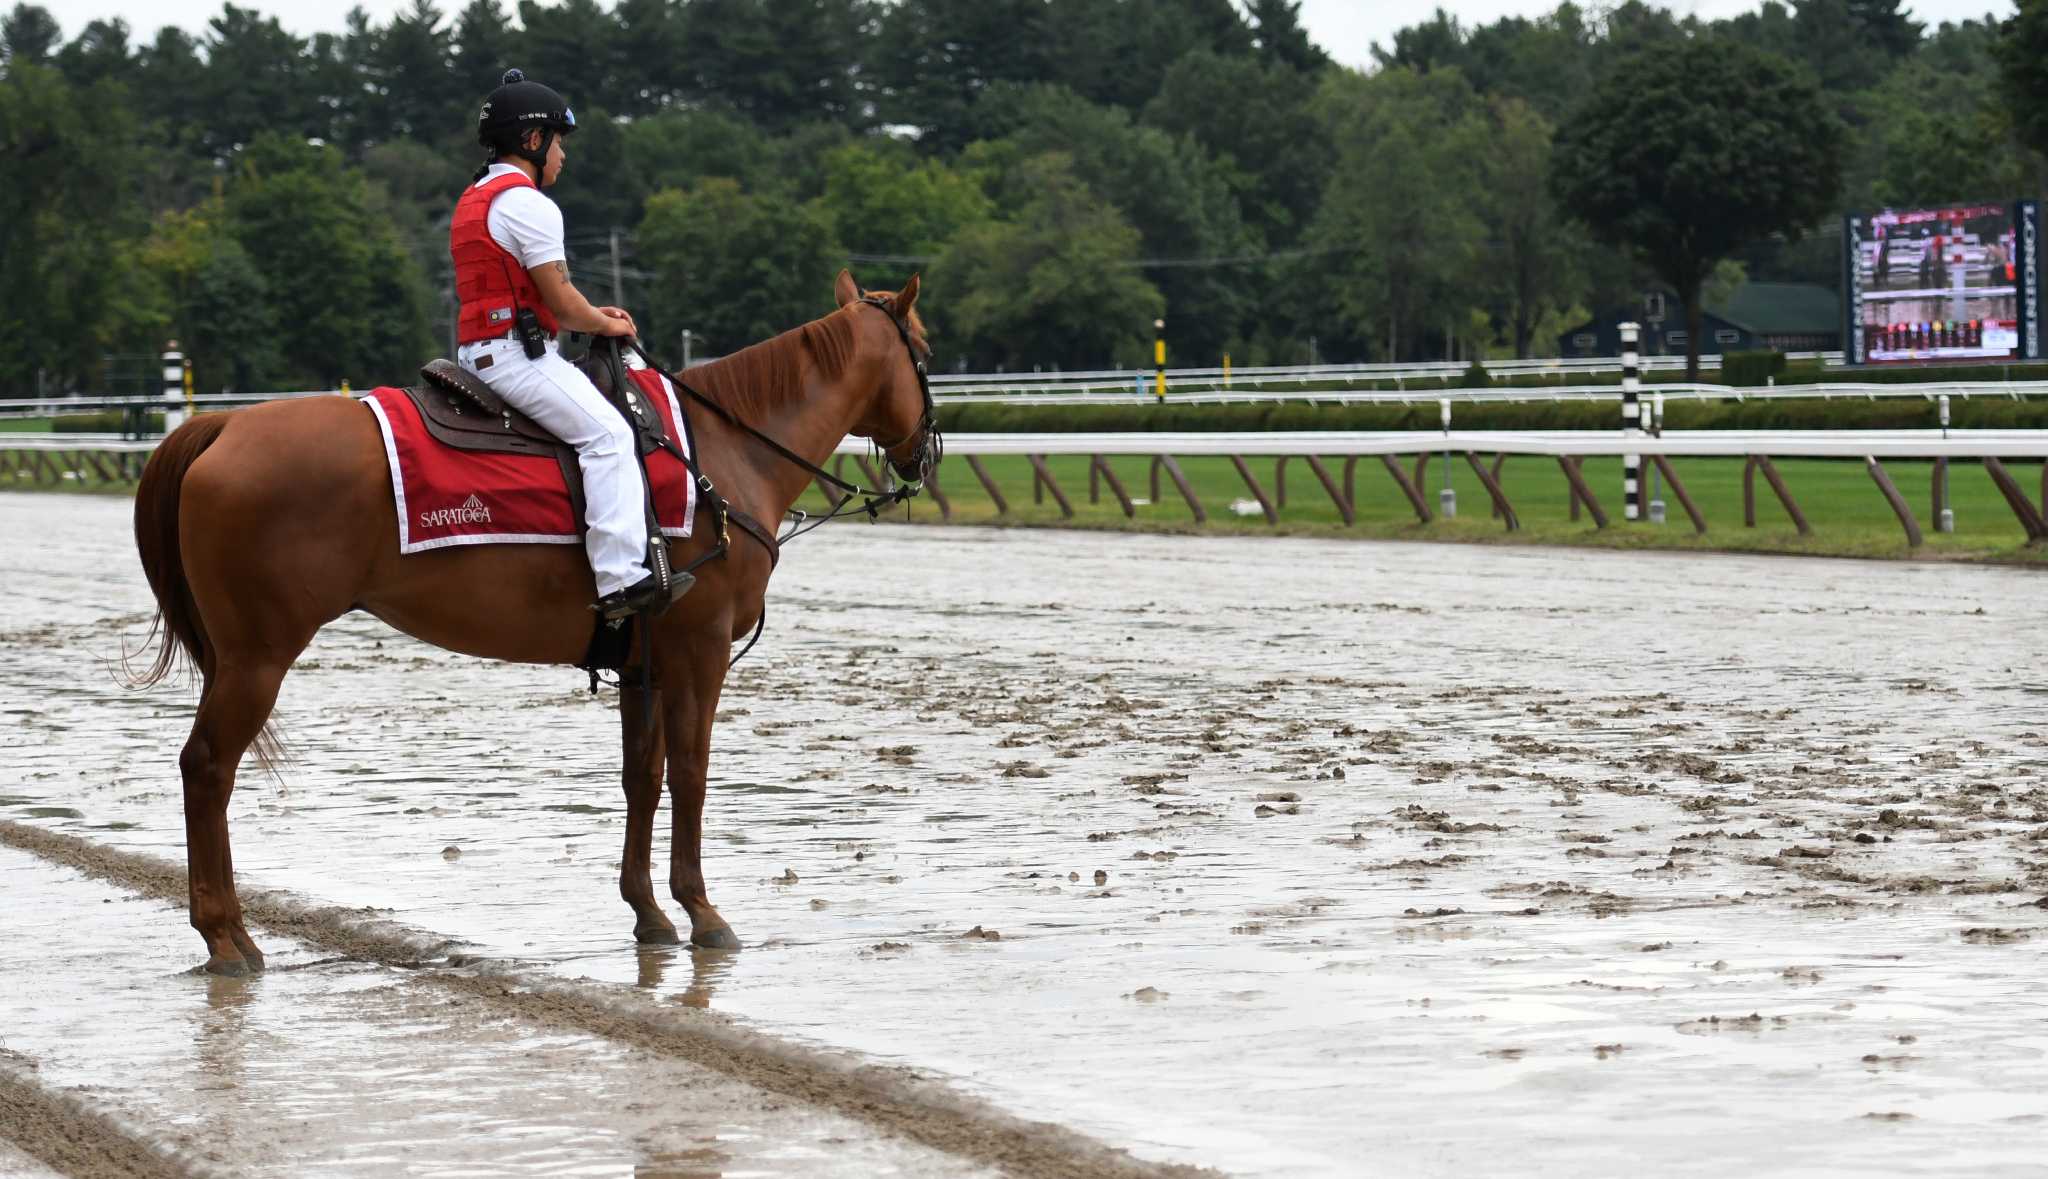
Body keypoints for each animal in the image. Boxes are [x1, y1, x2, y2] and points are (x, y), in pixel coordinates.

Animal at [123, 274, 933, 974]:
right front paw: (702, 911)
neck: (719, 454)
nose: (927, 453)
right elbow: (691, 775)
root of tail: (222, 424)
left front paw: (649, 913)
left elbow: (643, 777)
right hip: (258, 659)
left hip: (236, 660)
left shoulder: (643, 663)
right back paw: (225, 935)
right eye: (924, 351)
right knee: (207, 768)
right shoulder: (698, 655)